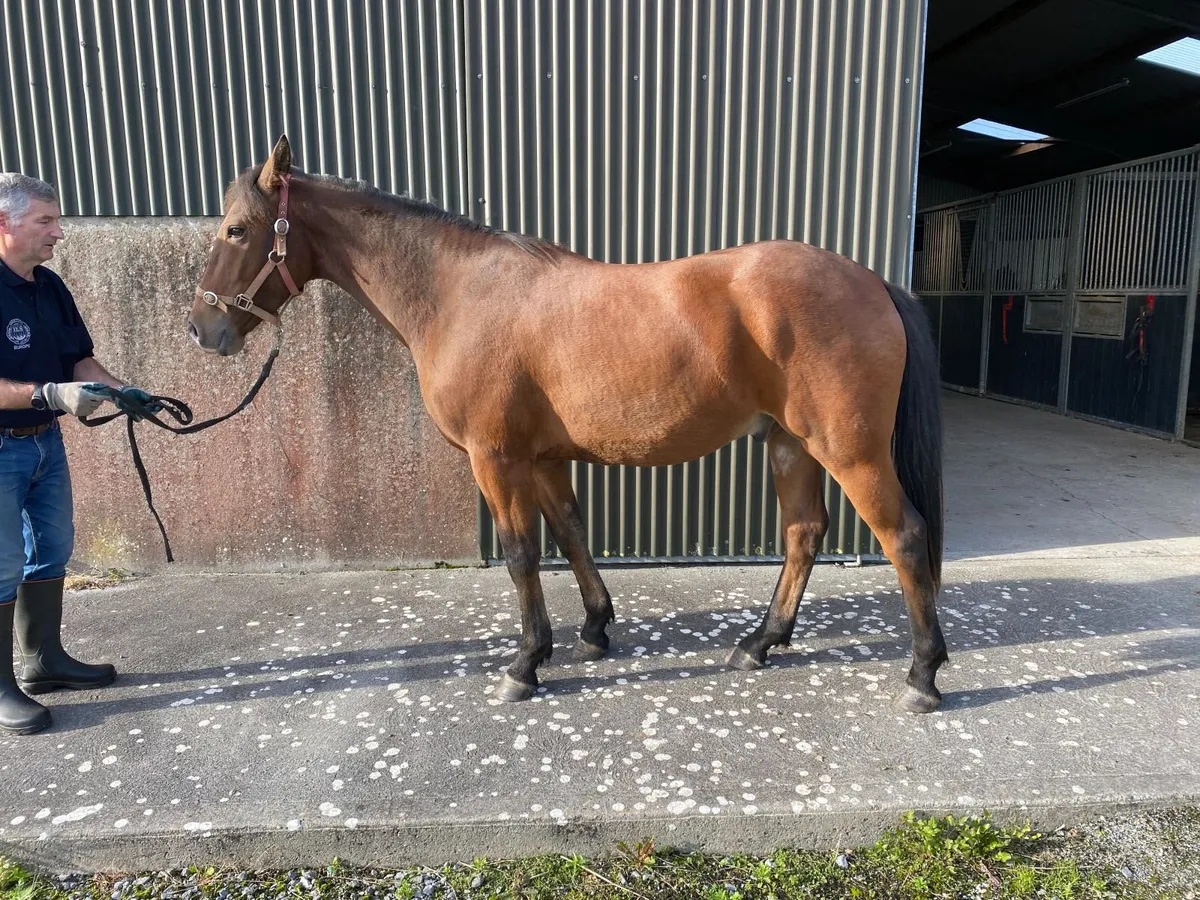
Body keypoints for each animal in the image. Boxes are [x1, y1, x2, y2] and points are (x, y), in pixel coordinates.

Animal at [187, 135, 949, 713]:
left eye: (237, 229)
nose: (202, 328)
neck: (458, 293)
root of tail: (874, 282)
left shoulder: (496, 457)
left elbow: (523, 553)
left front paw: (526, 663)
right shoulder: (545, 458)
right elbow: (572, 534)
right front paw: (593, 630)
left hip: (850, 450)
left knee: (905, 539)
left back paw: (922, 676)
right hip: (790, 443)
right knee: (803, 534)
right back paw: (759, 643)